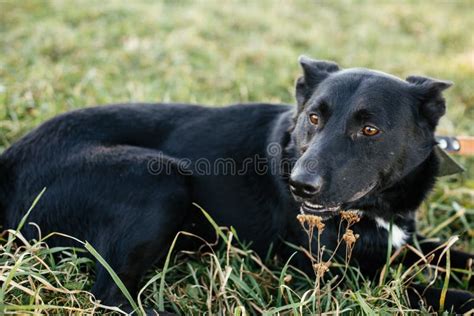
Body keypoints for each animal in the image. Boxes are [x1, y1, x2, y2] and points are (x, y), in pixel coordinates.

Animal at [0, 57, 472, 314]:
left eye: (370, 130)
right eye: (314, 118)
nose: (300, 186)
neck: (376, 207)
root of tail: (9, 161)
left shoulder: (404, 243)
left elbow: (449, 254)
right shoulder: (335, 275)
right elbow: (419, 288)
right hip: (159, 177)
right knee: (107, 296)